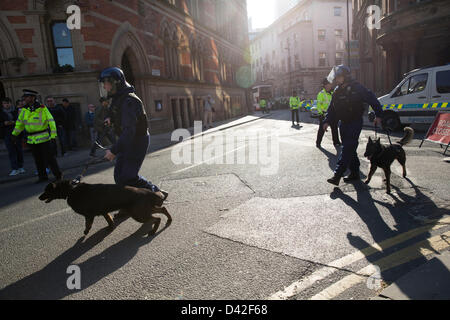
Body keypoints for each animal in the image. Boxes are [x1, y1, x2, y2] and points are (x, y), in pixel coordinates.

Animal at [38, 181, 171, 236]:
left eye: (46, 191)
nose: (39, 197)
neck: (71, 190)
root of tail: (149, 192)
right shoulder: (103, 211)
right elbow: (109, 219)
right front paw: (110, 227)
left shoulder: (89, 215)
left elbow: (88, 224)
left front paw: (86, 232)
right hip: (143, 210)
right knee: (163, 209)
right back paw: (169, 220)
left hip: (138, 214)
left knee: (157, 218)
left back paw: (153, 231)